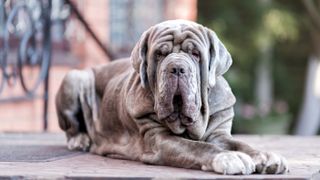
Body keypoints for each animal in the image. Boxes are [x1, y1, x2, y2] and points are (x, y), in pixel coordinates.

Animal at [56, 19, 288, 174]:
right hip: (75, 78)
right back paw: (80, 139)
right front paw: (228, 157)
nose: (176, 67)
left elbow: (241, 144)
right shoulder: (159, 140)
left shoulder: (220, 134)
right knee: (71, 128)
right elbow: (197, 147)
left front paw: (265, 156)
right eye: (159, 54)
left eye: (195, 54)